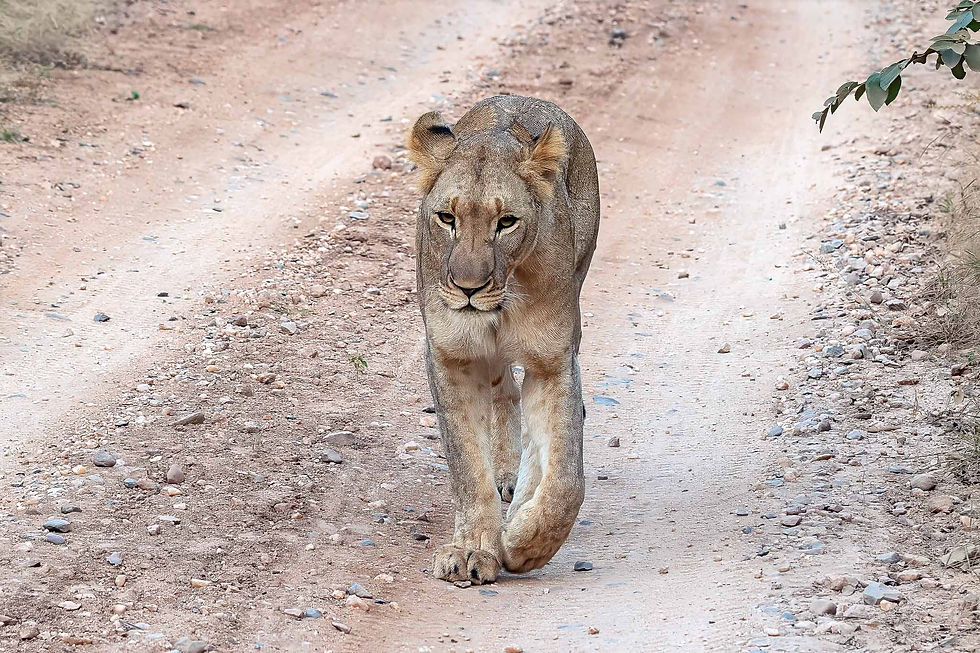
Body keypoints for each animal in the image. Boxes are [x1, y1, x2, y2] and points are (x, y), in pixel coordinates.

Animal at [408, 95, 600, 584]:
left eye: (507, 222)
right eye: (447, 218)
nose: (468, 288)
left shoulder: (553, 361)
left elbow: (565, 479)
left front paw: (523, 545)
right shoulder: (451, 357)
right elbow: (468, 467)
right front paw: (472, 549)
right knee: (504, 392)